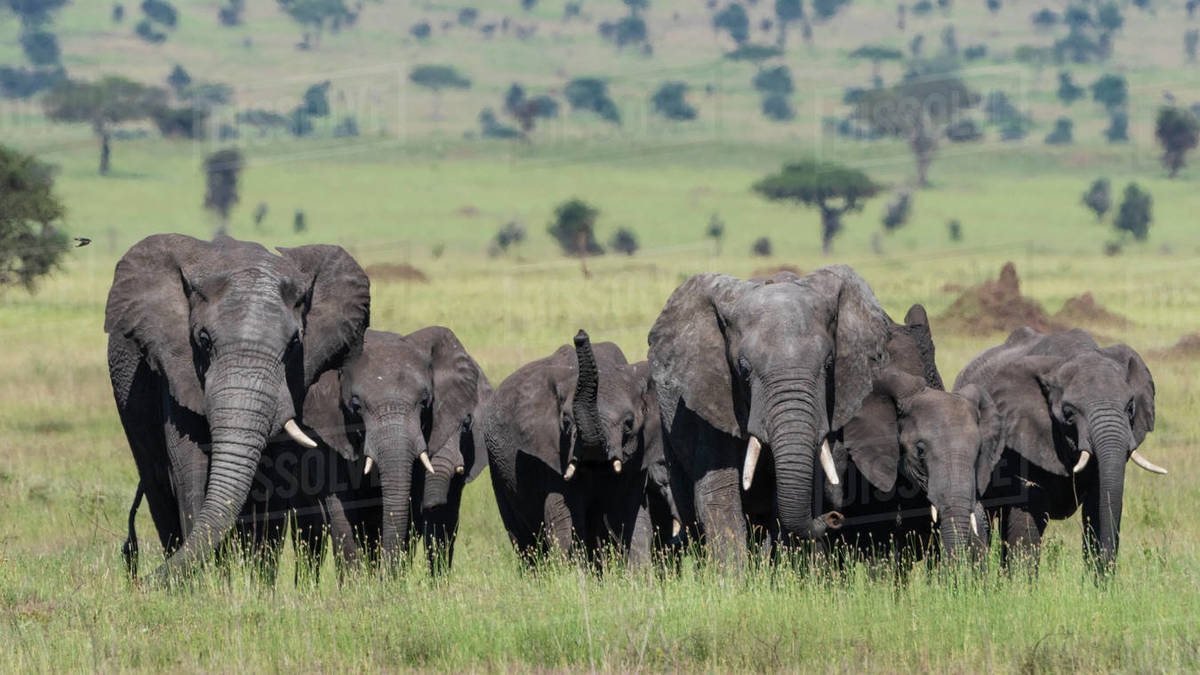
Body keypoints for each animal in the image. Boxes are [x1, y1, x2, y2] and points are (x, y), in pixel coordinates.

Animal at [107, 234, 370, 581]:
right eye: (204, 340)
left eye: (295, 344)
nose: (139, 581)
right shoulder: (175, 370)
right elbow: (189, 467)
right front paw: (204, 585)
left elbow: (273, 480)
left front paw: (253, 584)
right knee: (158, 487)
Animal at [288, 326, 491, 575]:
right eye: (356, 405)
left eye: (425, 401)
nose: (387, 576)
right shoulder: (329, 431)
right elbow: (341, 507)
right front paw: (356, 583)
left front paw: (393, 580)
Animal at [481, 330, 680, 568]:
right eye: (566, 421)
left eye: (629, 423)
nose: (580, 335)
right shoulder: (553, 455)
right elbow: (567, 521)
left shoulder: (638, 456)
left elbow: (627, 515)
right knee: (523, 540)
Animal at [647, 265, 894, 566]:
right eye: (743, 369)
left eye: (829, 365)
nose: (835, 517)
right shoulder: (712, 396)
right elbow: (718, 495)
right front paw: (732, 577)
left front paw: (782, 570)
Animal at [953, 327, 1165, 574]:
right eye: (1068, 413)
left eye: (1130, 407)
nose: (1107, 575)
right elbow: (1027, 515)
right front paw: (1022, 583)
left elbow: (1099, 503)